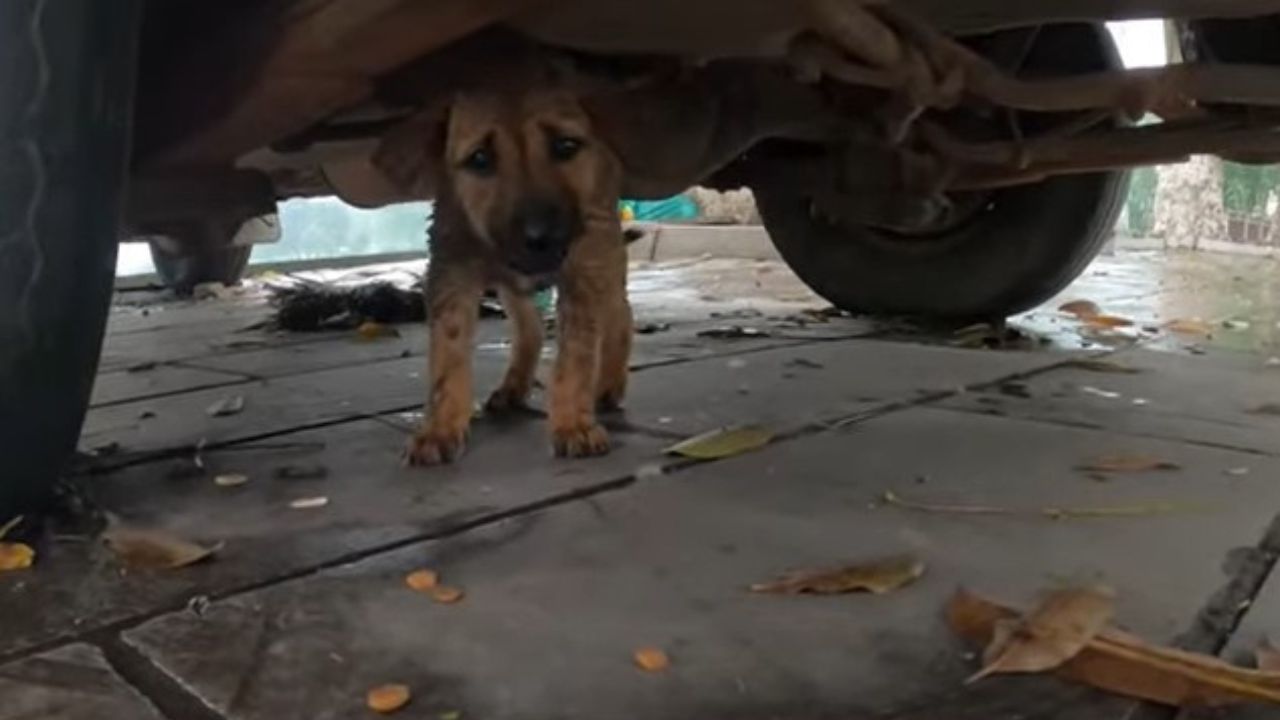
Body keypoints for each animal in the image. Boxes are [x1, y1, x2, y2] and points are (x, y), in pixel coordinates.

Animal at [401, 83, 632, 466]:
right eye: (479, 159)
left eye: (565, 146)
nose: (539, 238)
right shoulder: (452, 267)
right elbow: (448, 354)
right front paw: (440, 428)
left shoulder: (583, 265)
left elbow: (576, 354)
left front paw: (574, 425)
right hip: (512, 286)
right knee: (531, 326)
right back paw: (515, 385)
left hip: (605, 249)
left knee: (619, 312)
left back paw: (609, 382)